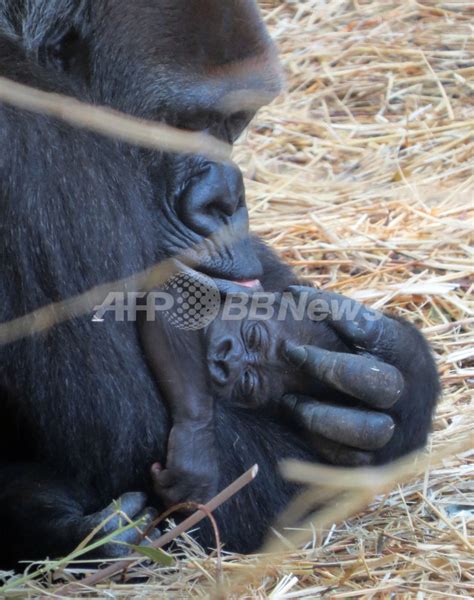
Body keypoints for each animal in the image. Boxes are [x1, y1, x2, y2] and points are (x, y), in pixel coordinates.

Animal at [139, 284, 402, 508]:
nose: (225, 360)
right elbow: (171, 300)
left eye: (247, 383)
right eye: (253, 336)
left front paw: (195, 444)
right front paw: (195, 441)